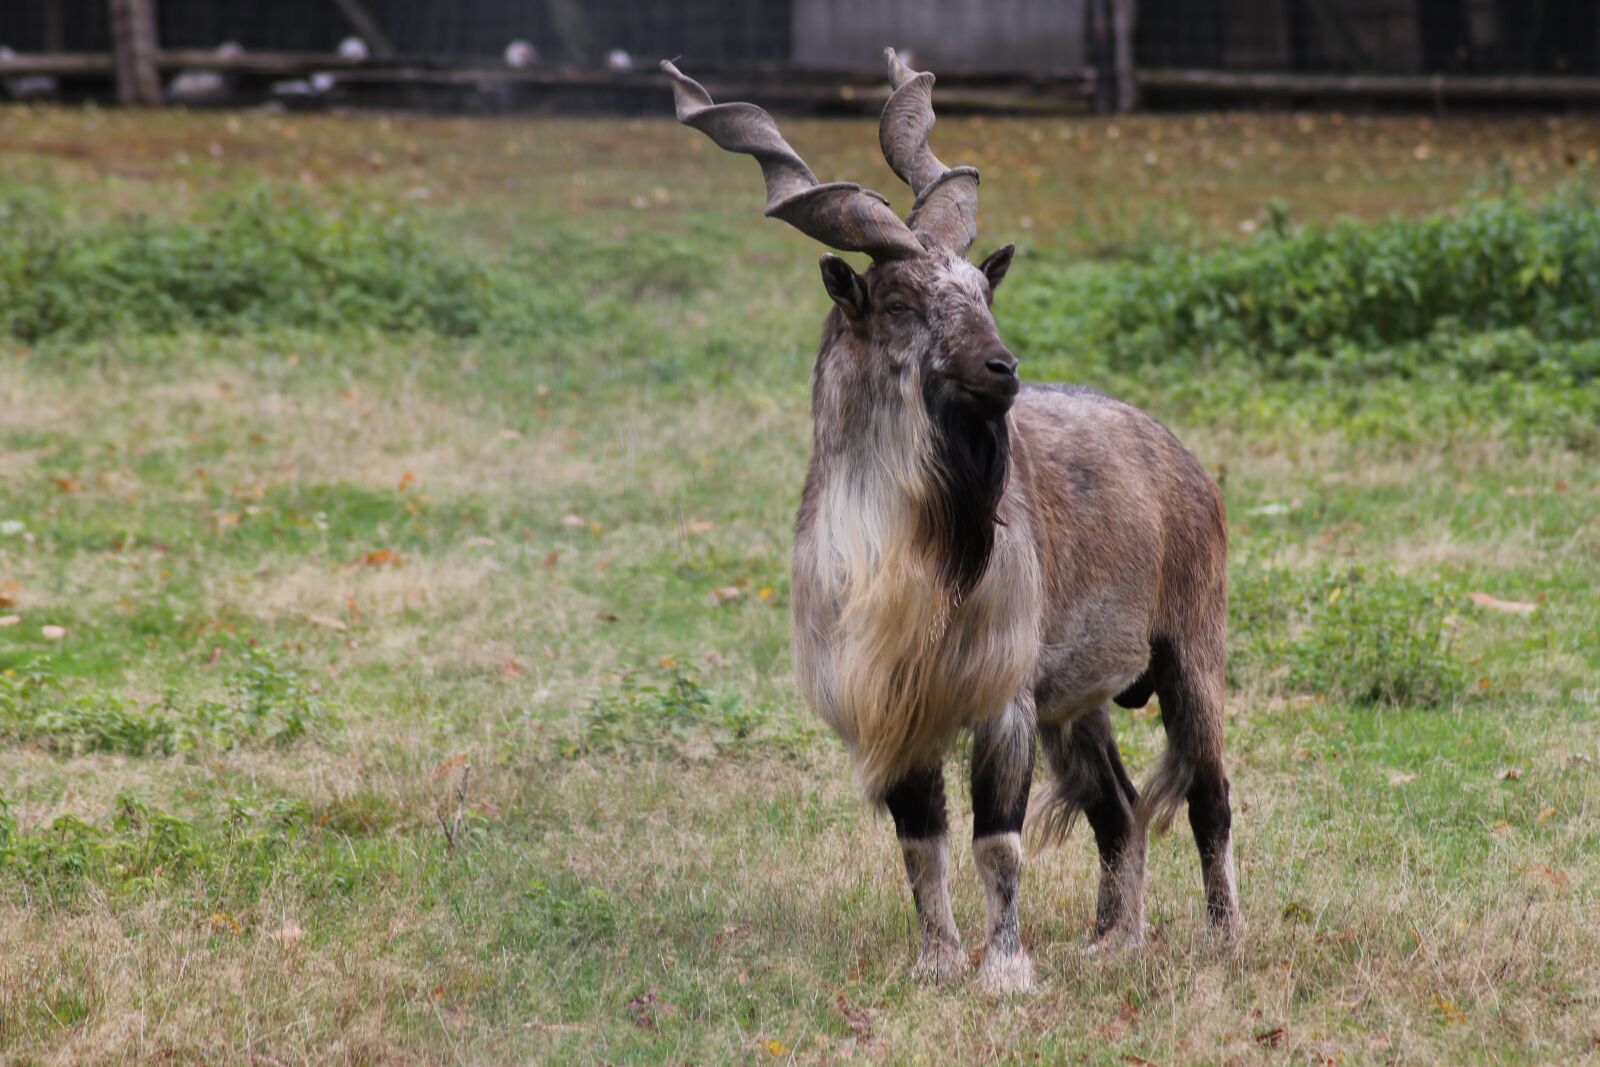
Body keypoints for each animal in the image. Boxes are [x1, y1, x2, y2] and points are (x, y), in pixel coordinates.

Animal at [663, 50, 1240, 993]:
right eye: (900, 302)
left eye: (980, 290)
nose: (1003, 368)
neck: (902, 557)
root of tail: (1182, 458)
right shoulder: (899, 706)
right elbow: (921, 842)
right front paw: (936, 963)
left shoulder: (999, 698)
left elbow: (996, 842)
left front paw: (1004, 970)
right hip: (1078, 702)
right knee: (1118, 807)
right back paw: (1114, 940)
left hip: (1191, 648)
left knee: (1209, 797)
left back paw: (1224, 941)